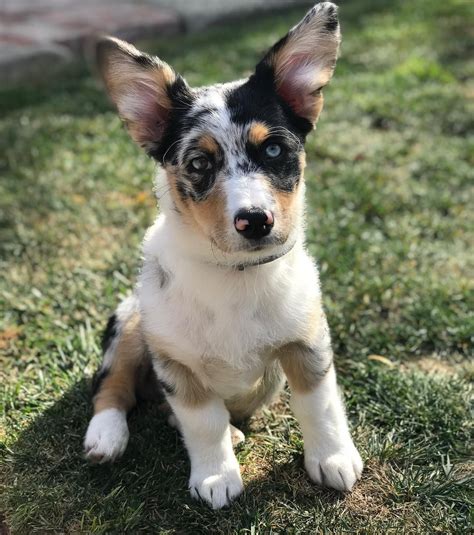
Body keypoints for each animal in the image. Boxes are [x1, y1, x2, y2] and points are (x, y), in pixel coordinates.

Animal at [84, 1, 362, 510]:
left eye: (273, 149)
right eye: (199, 164)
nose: (254, 221)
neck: (235, 275)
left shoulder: (307, 341)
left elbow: (318, 404)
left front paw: (332, 458)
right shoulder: (176, 362)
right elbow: (202, 420)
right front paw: (215, 476)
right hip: (132, 321)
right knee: (112, 384)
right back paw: (105, 436)